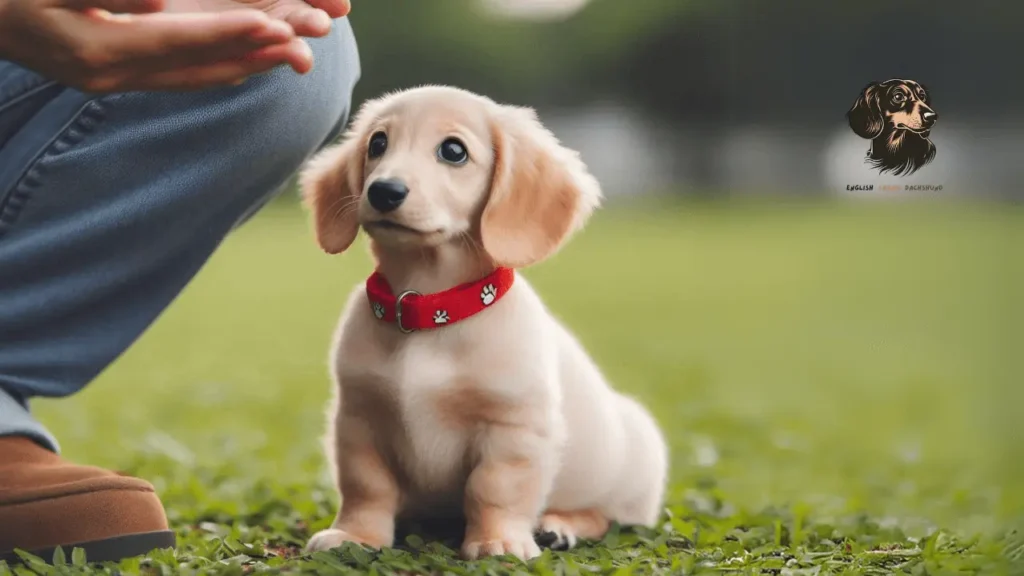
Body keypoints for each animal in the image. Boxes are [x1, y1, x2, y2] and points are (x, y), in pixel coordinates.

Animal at [299, 83, 667, 557]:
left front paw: (498, 541)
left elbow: (492, 488)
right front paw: (356, 536)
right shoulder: (359, 420)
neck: (429, 312)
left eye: (453, 150)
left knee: (603, 517)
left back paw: (559, 525)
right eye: (377, 143)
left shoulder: (511, 428)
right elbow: (367, 487)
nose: (383, 191)